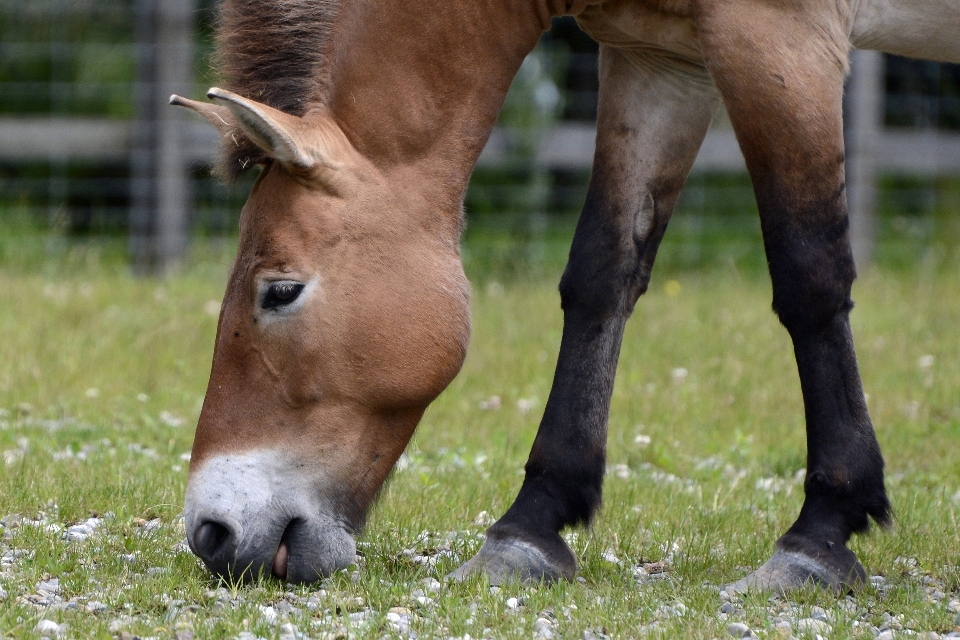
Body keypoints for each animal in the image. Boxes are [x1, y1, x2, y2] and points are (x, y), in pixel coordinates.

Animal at [172, 0, 960, 592]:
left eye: (281, 291)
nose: (211, 533)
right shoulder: (658, 60)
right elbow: (601, 276)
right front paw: (530, 527)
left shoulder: (779, 41)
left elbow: (809, 276)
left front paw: (819, 536)